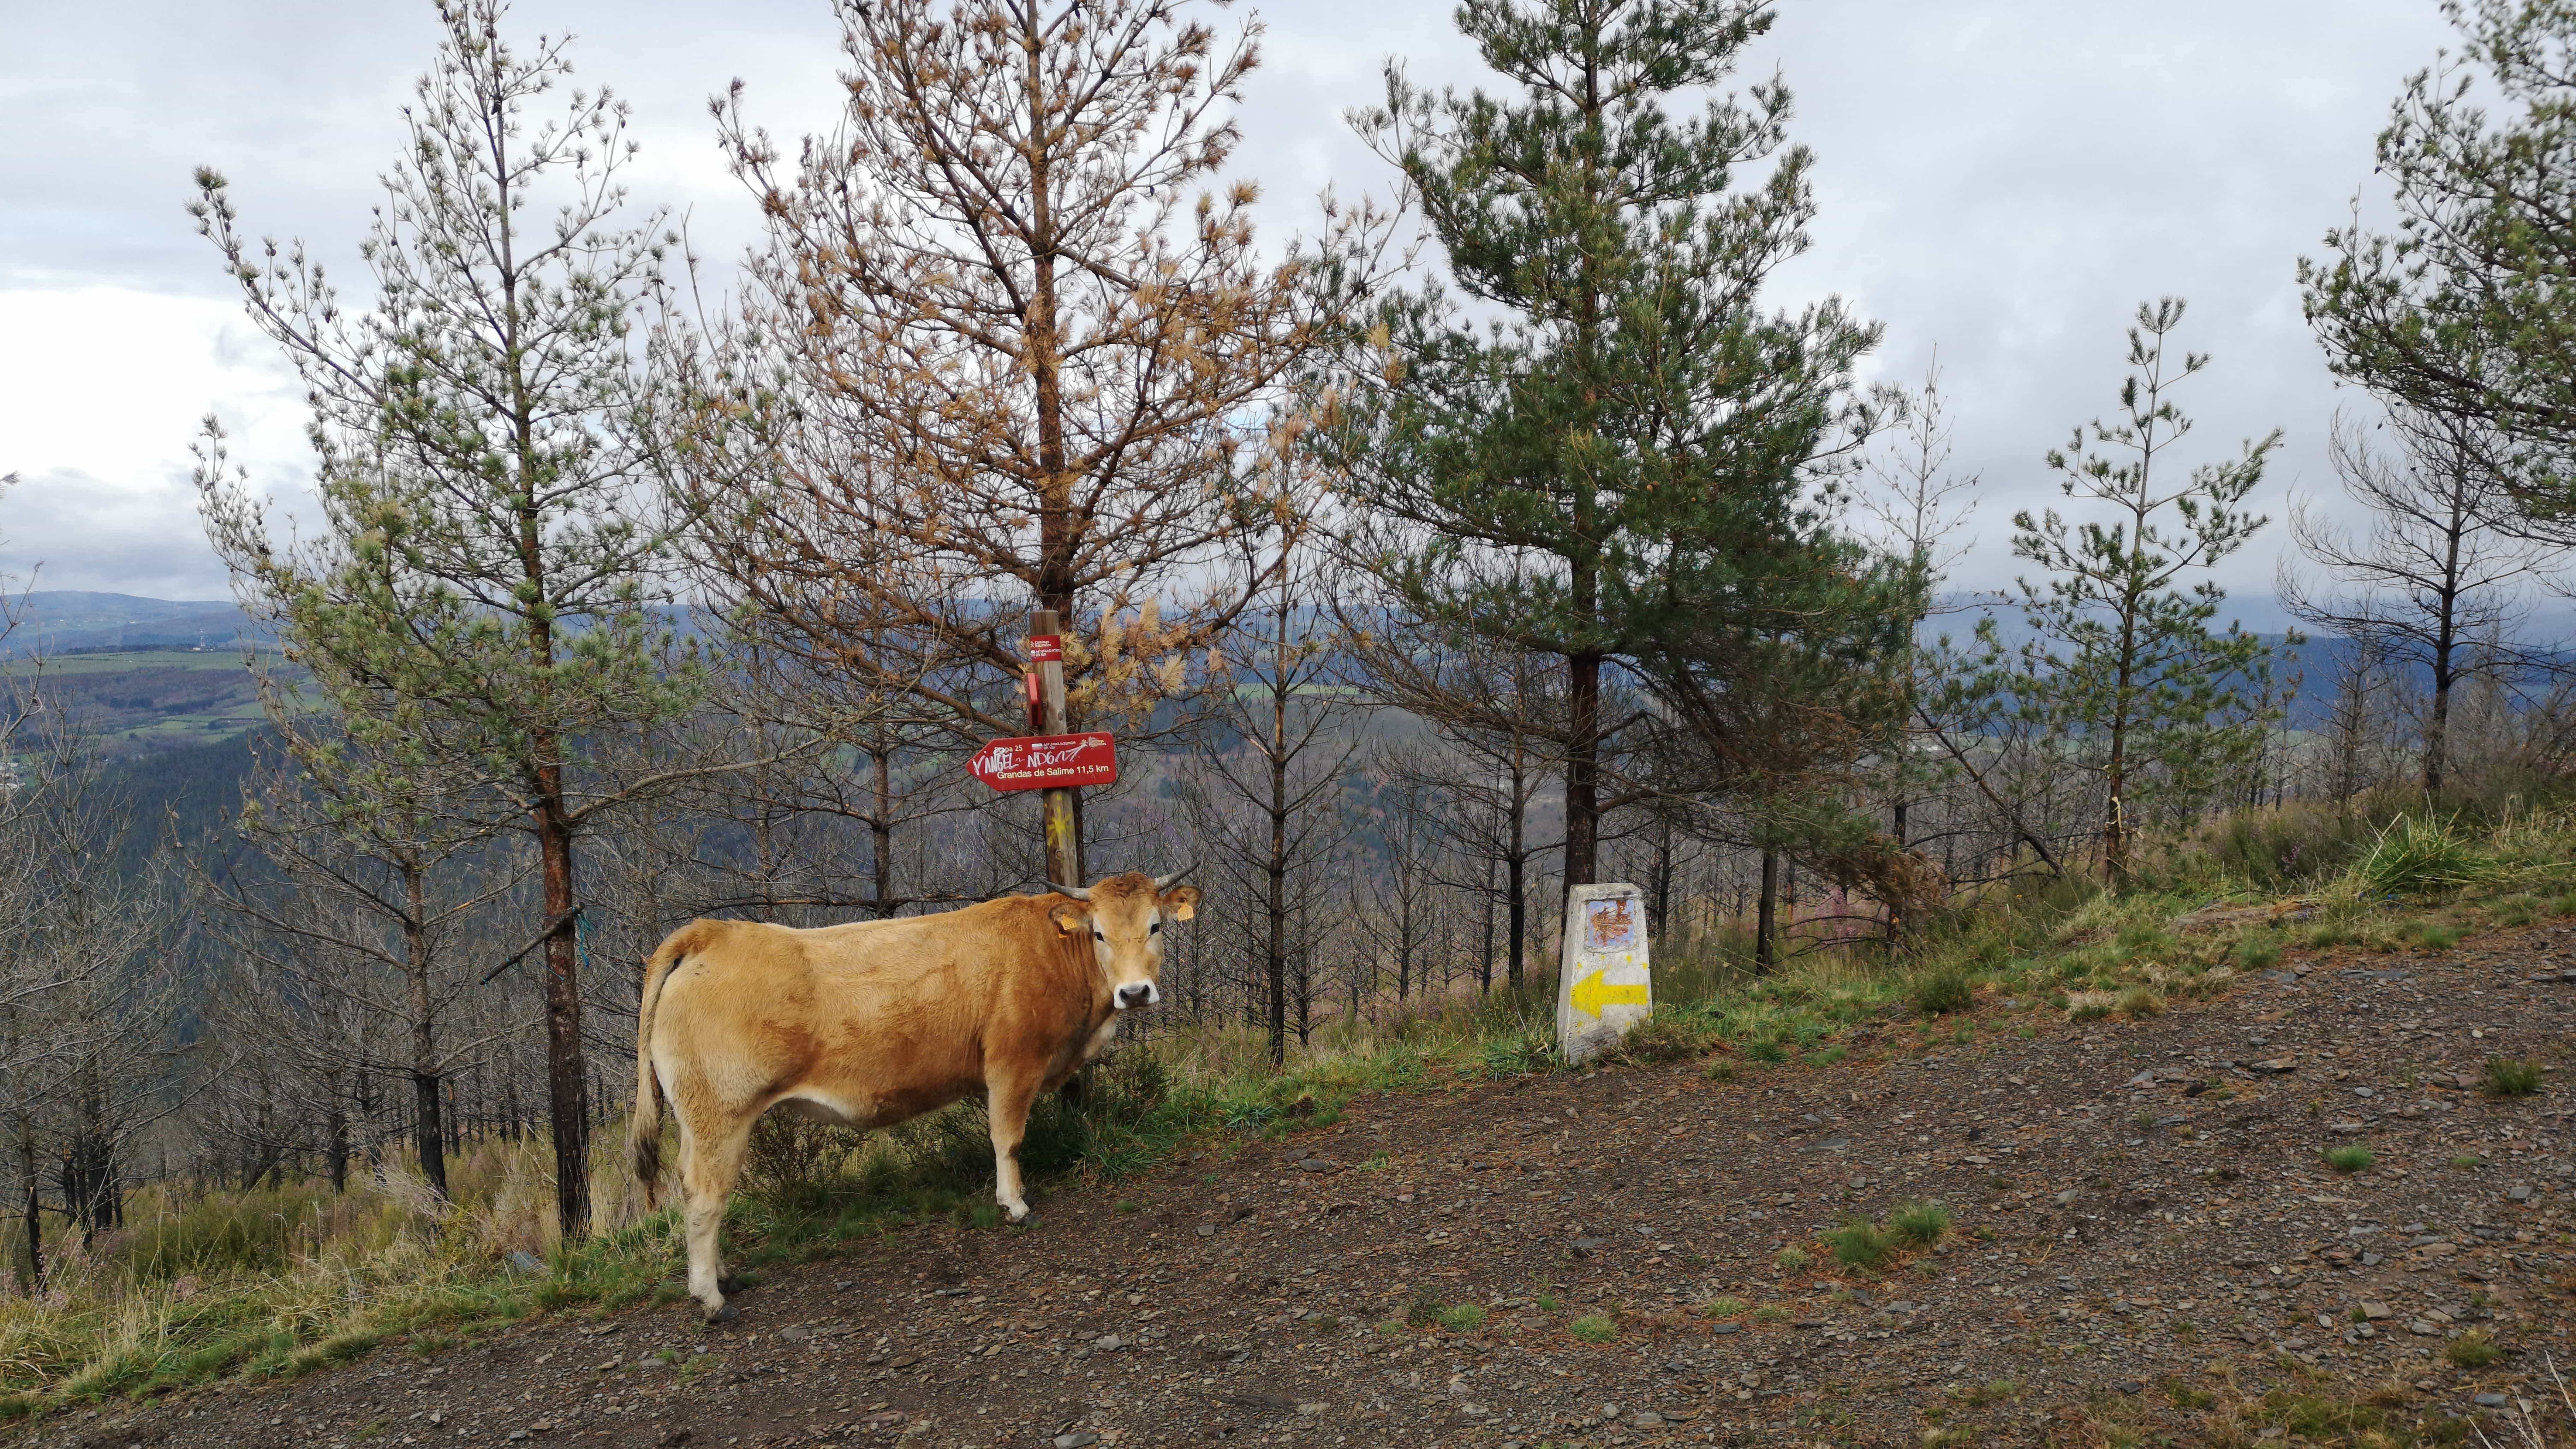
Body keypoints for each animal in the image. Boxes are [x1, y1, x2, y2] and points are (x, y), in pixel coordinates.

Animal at [623, 861, 1195, 1315]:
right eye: (1098, 934)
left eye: (1155, 925)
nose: (1135, 992)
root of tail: (711, 932)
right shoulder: (1012, 1063)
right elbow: (1007, 1138)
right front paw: (1014, 1205)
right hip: (723, 1114)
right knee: (706, 1197)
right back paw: (711, 1297)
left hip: (698, 1120)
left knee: (695, 1188)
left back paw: (722, 1276)